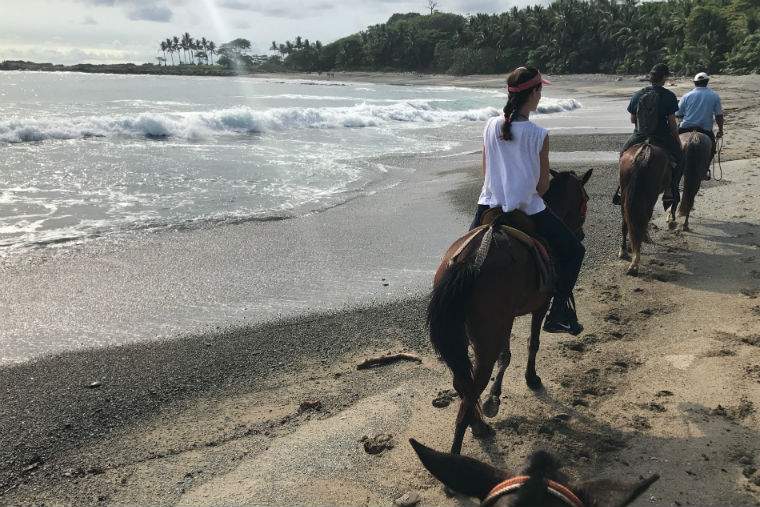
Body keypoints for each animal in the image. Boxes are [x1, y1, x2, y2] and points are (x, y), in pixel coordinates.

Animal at [428, 171, 588, 456]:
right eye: (585, 200)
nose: (579, 234)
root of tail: (472, 257)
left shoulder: (507, 318)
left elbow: (507, 355)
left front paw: (495, 397)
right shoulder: (540, 305)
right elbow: (532, 343)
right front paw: (531, 378)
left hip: (467, 334)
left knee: (462, 383)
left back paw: (479, 425)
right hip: (486, 340)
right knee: (470, 390)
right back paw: (462, 445)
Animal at [616, 143, 672, 276]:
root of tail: (644, 152)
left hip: (625, 196)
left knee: (626, 222)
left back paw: (625, 251)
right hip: (651, 197)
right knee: (644, 219)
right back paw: (635, 261)